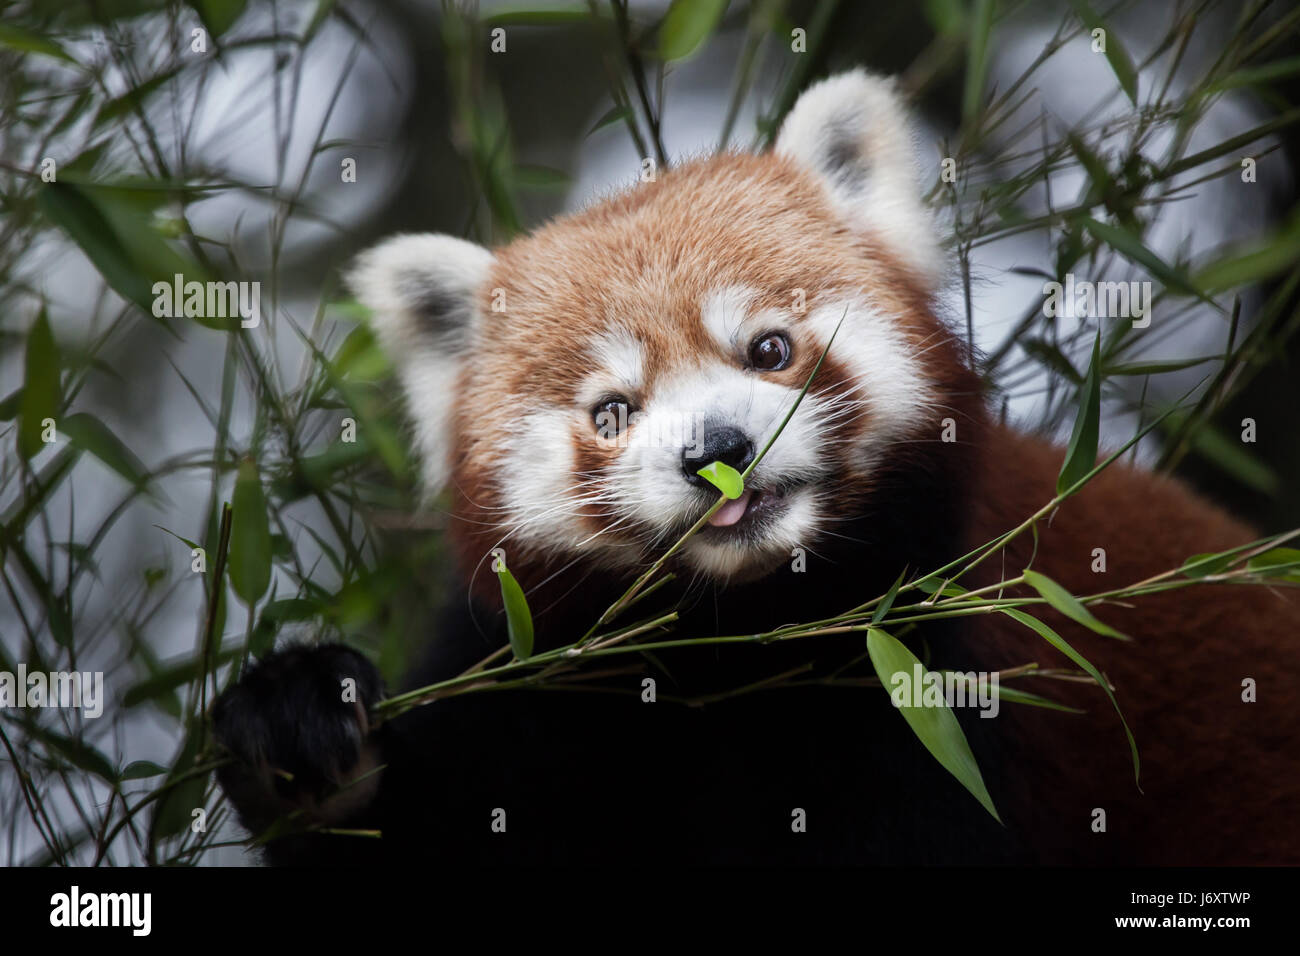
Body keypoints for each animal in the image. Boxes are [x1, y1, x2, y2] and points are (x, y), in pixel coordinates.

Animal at [213, 69, 1300, 868]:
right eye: (613, 412)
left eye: (769, 349)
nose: (718, 454)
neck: (741, 639)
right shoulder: (541, 678)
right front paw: (300, 728)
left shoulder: (945, 677)